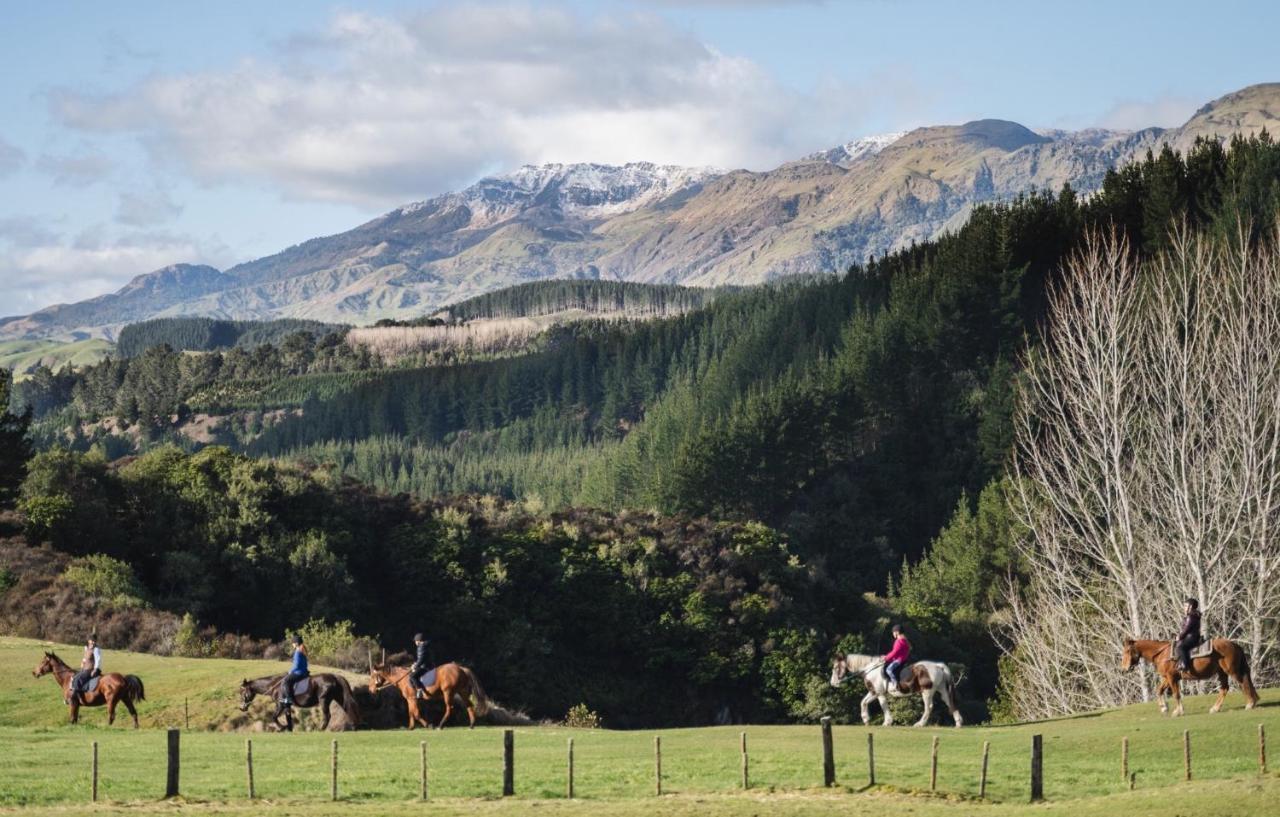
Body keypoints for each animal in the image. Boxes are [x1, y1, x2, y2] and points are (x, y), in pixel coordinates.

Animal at [829, 653, 962, 727]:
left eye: (835, 668)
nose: (833, 683)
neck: (870, 669)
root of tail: (938, 666)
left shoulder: (879, 693)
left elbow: (883, 706)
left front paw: (887, 722)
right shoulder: (874, 692)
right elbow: (863, 702)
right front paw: (866, 719)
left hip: (927, 691)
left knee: (928, 707)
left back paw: (920, 724)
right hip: (942, 690)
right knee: (950, 703)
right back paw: (958, 723)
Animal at [1121, 640, 1259, 717]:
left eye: (1127, 651)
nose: (1124, 669)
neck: (1163, 654)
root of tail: (1234, 644)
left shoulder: (1172, 678)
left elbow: (1176, 695)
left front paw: (1178, 711)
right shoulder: (1168, 678)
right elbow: (1159, 690)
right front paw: (1164, 708)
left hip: (1232, 671)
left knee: (1243, 683)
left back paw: (1250, 704)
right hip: (1222, 673)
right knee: (1225, 688)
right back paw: (1215, 708)